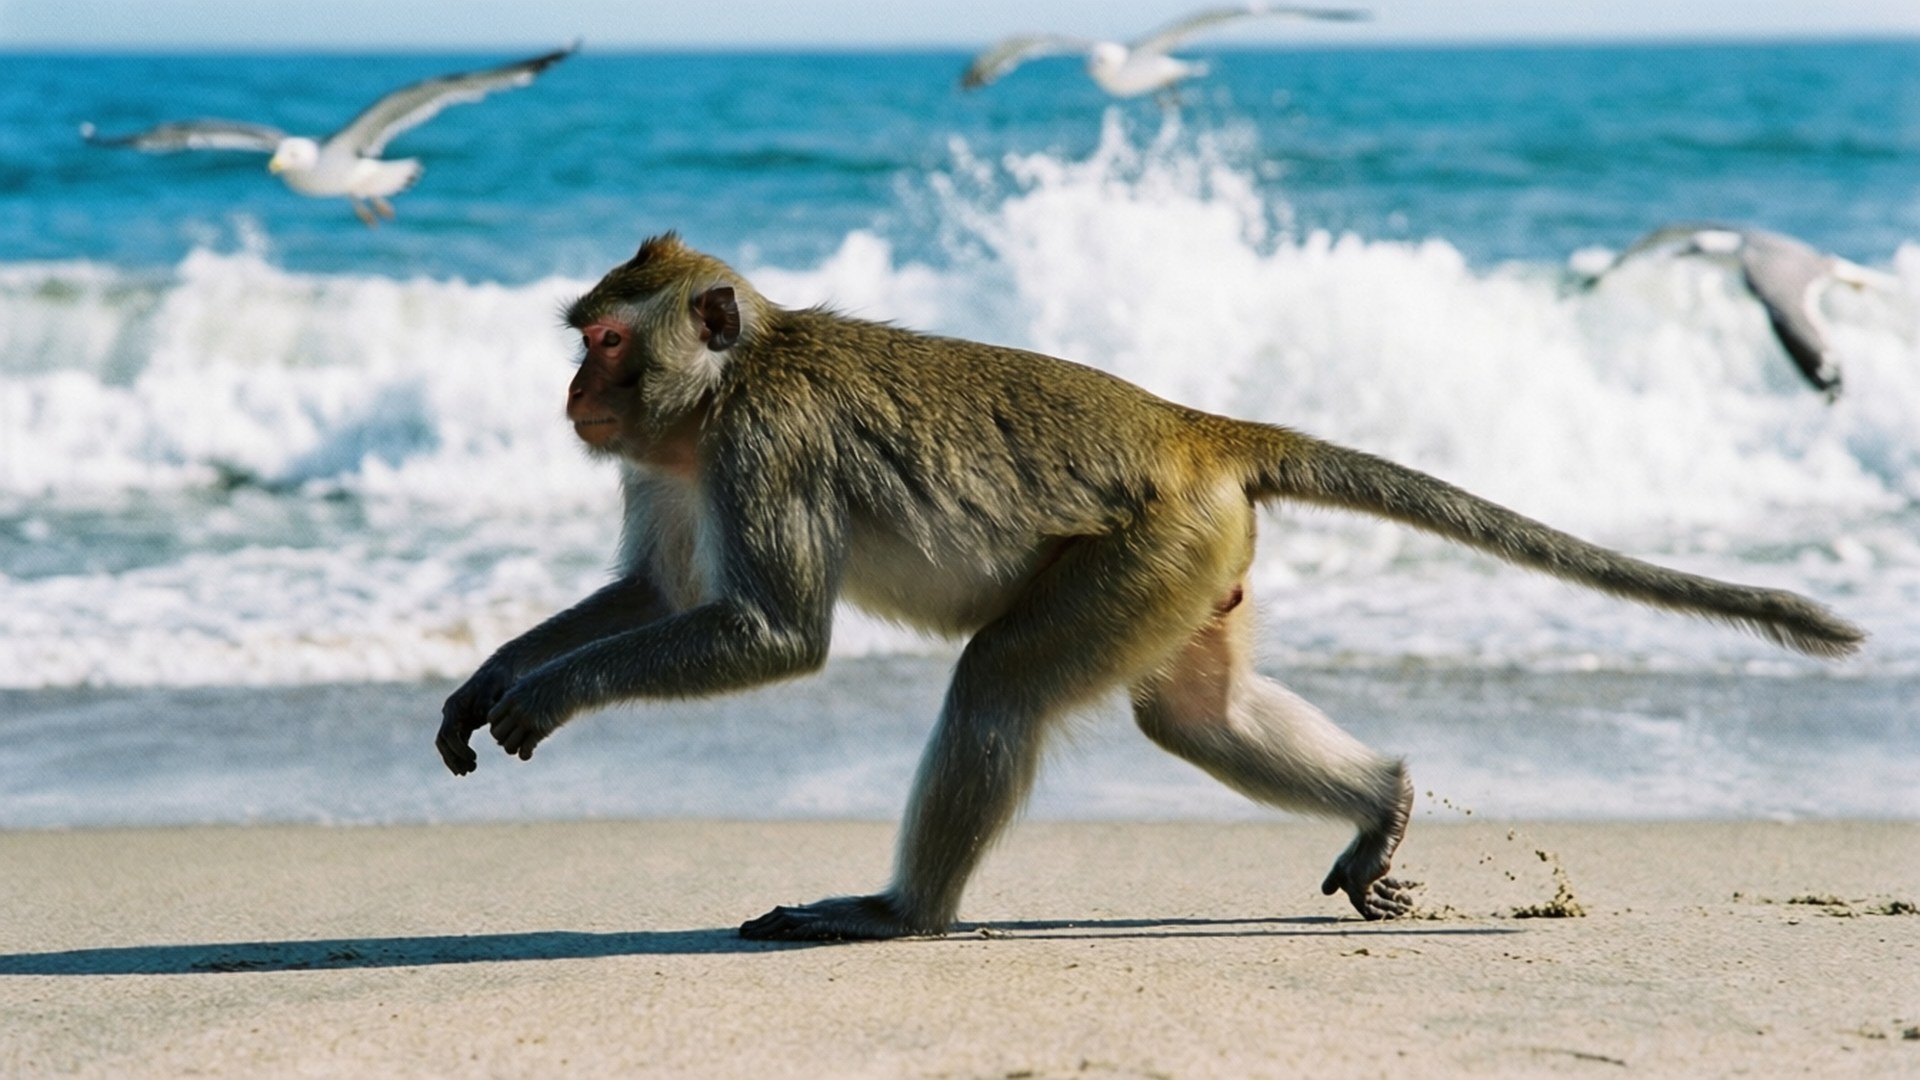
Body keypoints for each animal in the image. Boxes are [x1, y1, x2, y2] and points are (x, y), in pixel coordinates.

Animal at [434, 232, 1864, 941]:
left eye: (605, 341)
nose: (571, 393)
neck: (722, 395)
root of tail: (1190, 428)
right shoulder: (672, 468)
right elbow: (648, 593)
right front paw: (493, 677)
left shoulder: (761, 448)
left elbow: (773, 633)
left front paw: (550, 696)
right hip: (1197, 565)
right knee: (1191, 714)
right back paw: (1384, 802)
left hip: (1151, 547)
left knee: (998, 687)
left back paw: (901, 916)